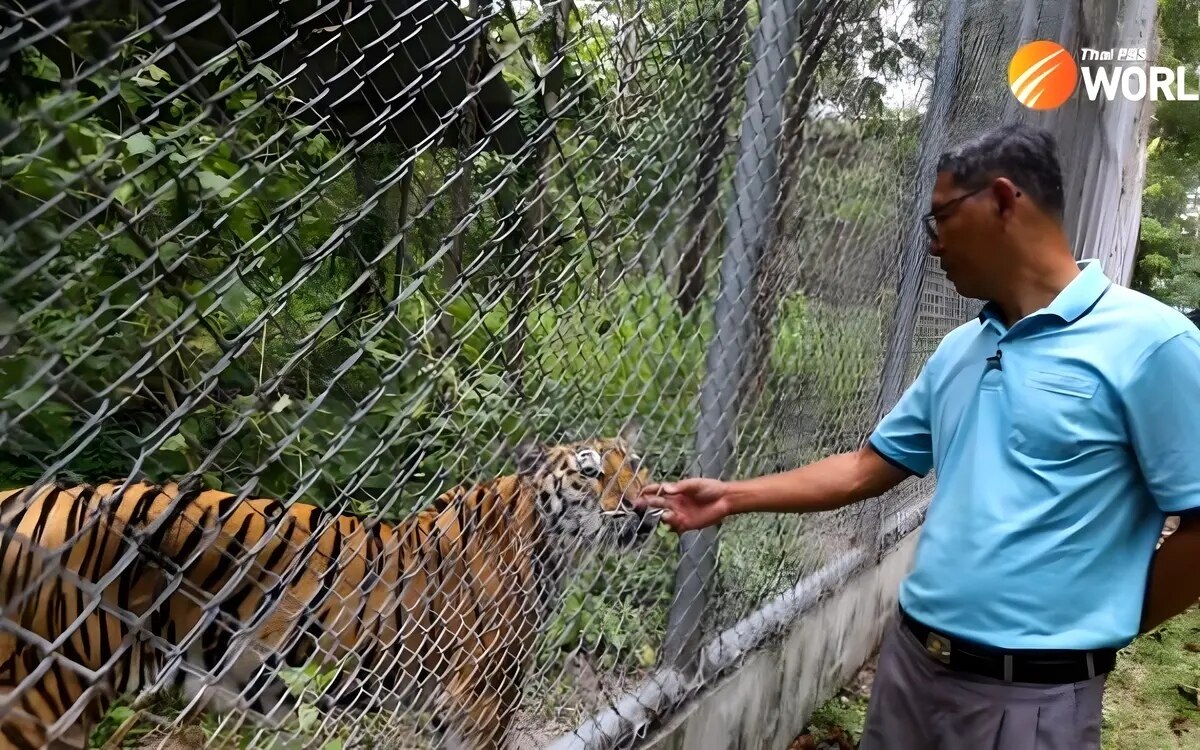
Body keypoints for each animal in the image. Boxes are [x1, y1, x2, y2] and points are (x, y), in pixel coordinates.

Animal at [0, 427, 657, 748]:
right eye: (591, 472)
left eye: (637, 465)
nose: (646, 503)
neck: (551, 540)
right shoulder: (481, 698)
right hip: (41, 702)